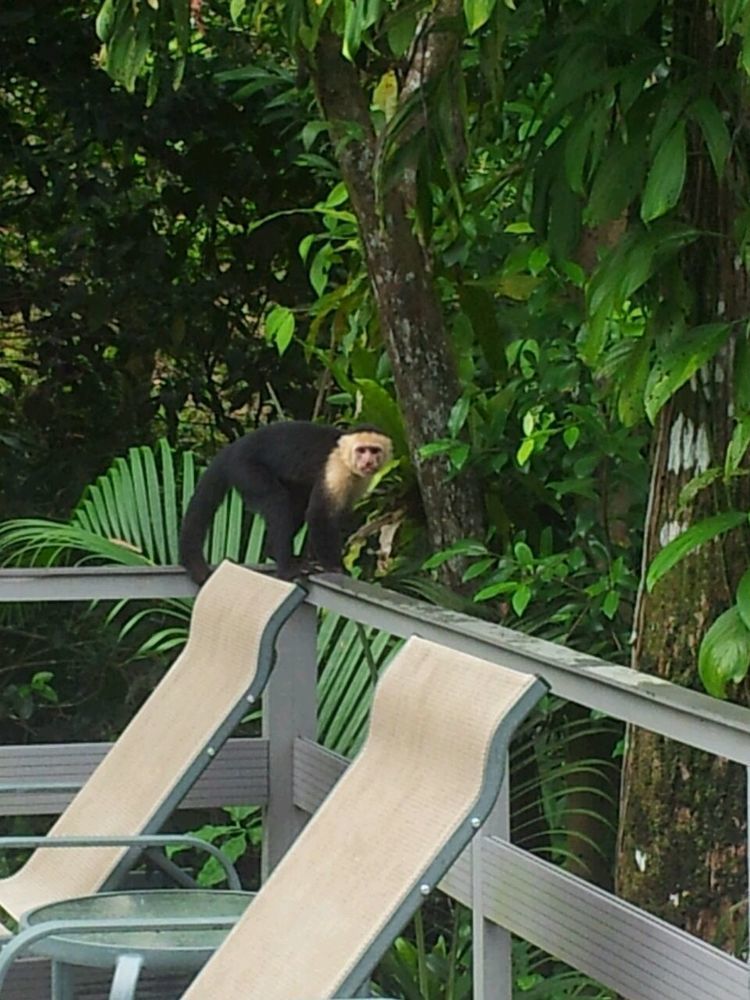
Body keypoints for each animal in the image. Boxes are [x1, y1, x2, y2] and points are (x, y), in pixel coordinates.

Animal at [181, 418, 394, 584]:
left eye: (374, 451)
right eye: (361, 450)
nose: (368, 461)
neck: (345, 458)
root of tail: (233, 448)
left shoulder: (362, 479)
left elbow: (337, 516)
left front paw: (317, 559)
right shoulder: (336, 468)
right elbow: (320, 515)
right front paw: (334, 566)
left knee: (296, 506)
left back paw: (275, 553)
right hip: (244, 468)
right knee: (278, 501)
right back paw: (286, 567)